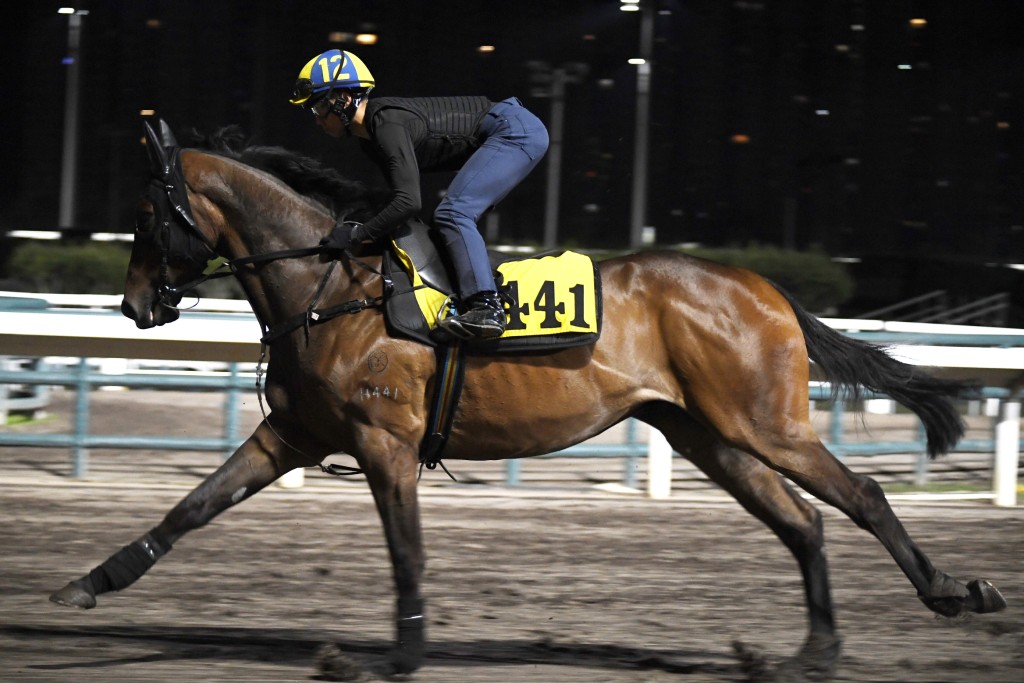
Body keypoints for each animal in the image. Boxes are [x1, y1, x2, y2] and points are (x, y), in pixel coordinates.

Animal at [49, 121, 1007, 679]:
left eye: (147, 211)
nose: (135, 306)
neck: (330, 286)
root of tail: (764, 288)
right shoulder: (293, 430)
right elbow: (189, 509)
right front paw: (88, 584)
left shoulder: (382, 440)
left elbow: (406, 551)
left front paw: (396, 655)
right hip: (705, 432)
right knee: (801, 522)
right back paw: (810, 651)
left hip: (762, 419)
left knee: (862, 495)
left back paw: (950, 592)